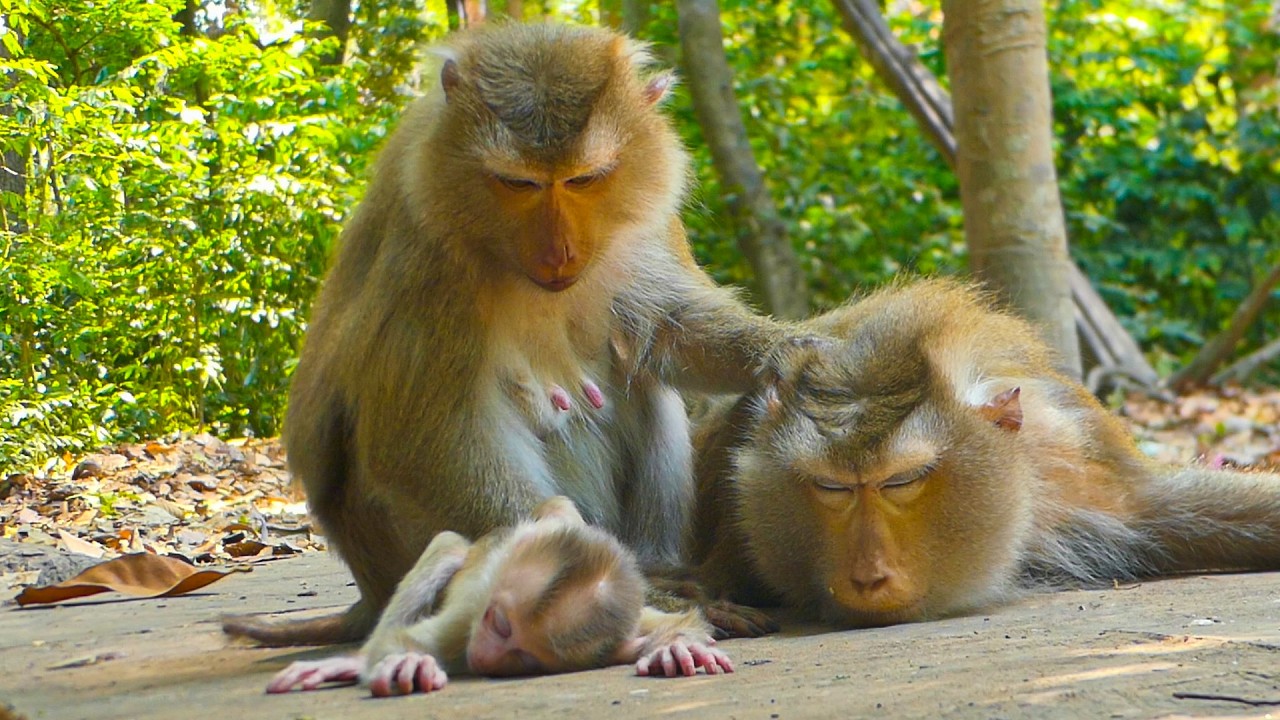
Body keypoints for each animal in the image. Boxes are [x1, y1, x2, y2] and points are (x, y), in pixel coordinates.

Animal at [222, 23, 792, 646]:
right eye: (518, 183)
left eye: (584, 179)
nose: (559, 251)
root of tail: (370, 590)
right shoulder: (430, 257)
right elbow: (419, 442)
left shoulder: (651, 221)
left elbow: (671, 326)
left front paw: (796, 351)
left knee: (644, 381)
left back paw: (658, 563)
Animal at [266, 497, 732, 696]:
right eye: (499, 623)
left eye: (526, 657)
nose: (484, 659)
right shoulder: (470, 619)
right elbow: (405, 642)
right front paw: (410, 663)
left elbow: (685, 621)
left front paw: (674, 649)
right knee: (450, 547)